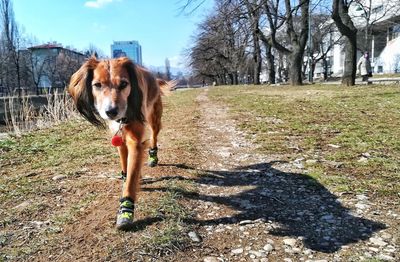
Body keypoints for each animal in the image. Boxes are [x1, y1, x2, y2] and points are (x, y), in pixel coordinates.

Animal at [68, 56, 173, 229]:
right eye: (97, 85)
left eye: (124, 84)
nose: (111, 111)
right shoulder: (119, 138)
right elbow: (126, 165)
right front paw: (126, 176)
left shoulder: (135, 141)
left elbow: (130, 180)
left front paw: (126, 210)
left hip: (154, 119)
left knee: (154, 137)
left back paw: (153, 157)